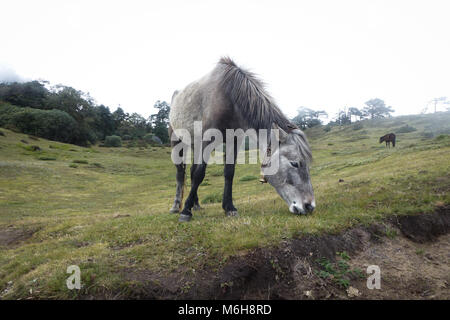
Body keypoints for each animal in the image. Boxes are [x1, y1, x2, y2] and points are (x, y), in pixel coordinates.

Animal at [168, 57, 312, 221]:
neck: (228, 98)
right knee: (181, 173)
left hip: (195, 144)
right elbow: (199, 174)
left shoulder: (234, 140)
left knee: (191, 171)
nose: (309, 206)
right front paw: (186, 211)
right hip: (177, 142)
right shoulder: (207, 139)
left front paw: (229, 207)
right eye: (295, 163)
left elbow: (229, 172)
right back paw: (176, 206)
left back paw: (196, 205)